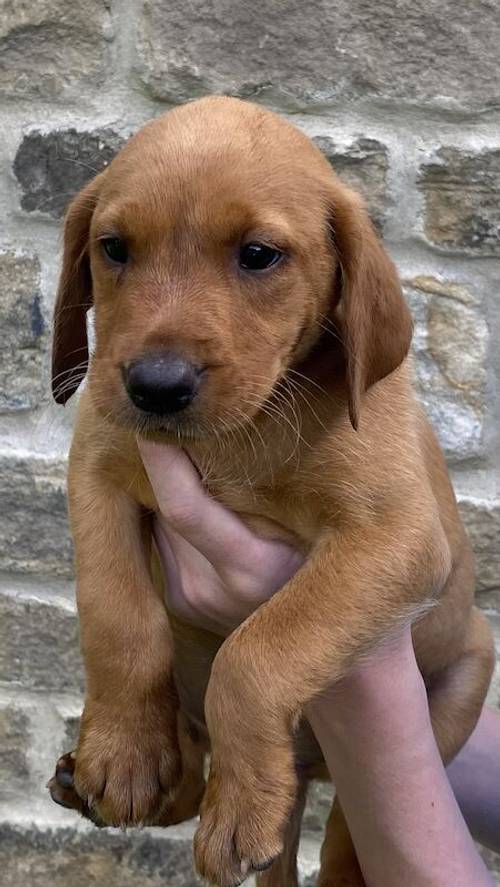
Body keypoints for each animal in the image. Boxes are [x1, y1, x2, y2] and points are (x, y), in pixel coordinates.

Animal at [48, 97, 494, 887]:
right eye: (114, 248)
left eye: (258, 255)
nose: (155, 386)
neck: (243, 432)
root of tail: (309, 771)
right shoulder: (96, 468)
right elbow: (117, 612)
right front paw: (124, 750)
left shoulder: (396, 537)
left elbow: (256, 652)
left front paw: (241, 807)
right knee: (187, 775)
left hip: (457, 688)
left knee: (349, 834)